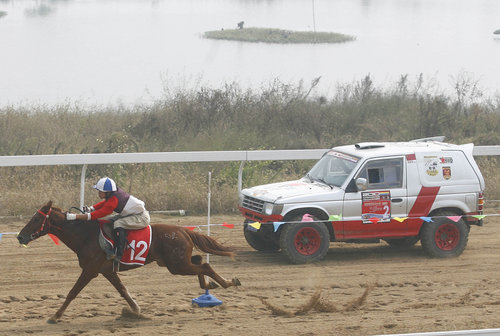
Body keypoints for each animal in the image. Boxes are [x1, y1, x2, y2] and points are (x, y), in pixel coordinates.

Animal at [17, 201, 240, 324]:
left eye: (36, 219)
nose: (20, 237)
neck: (86, 235)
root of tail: (183, 230)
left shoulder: (90, 270)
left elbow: (72, 292)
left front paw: (55, 316)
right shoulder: (107, 270)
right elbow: (123, 290)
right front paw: (136, 311)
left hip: (177, 266)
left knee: (205, 265)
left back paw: (227, 282)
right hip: (176, 262)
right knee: (200, 261)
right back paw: (210, 285)